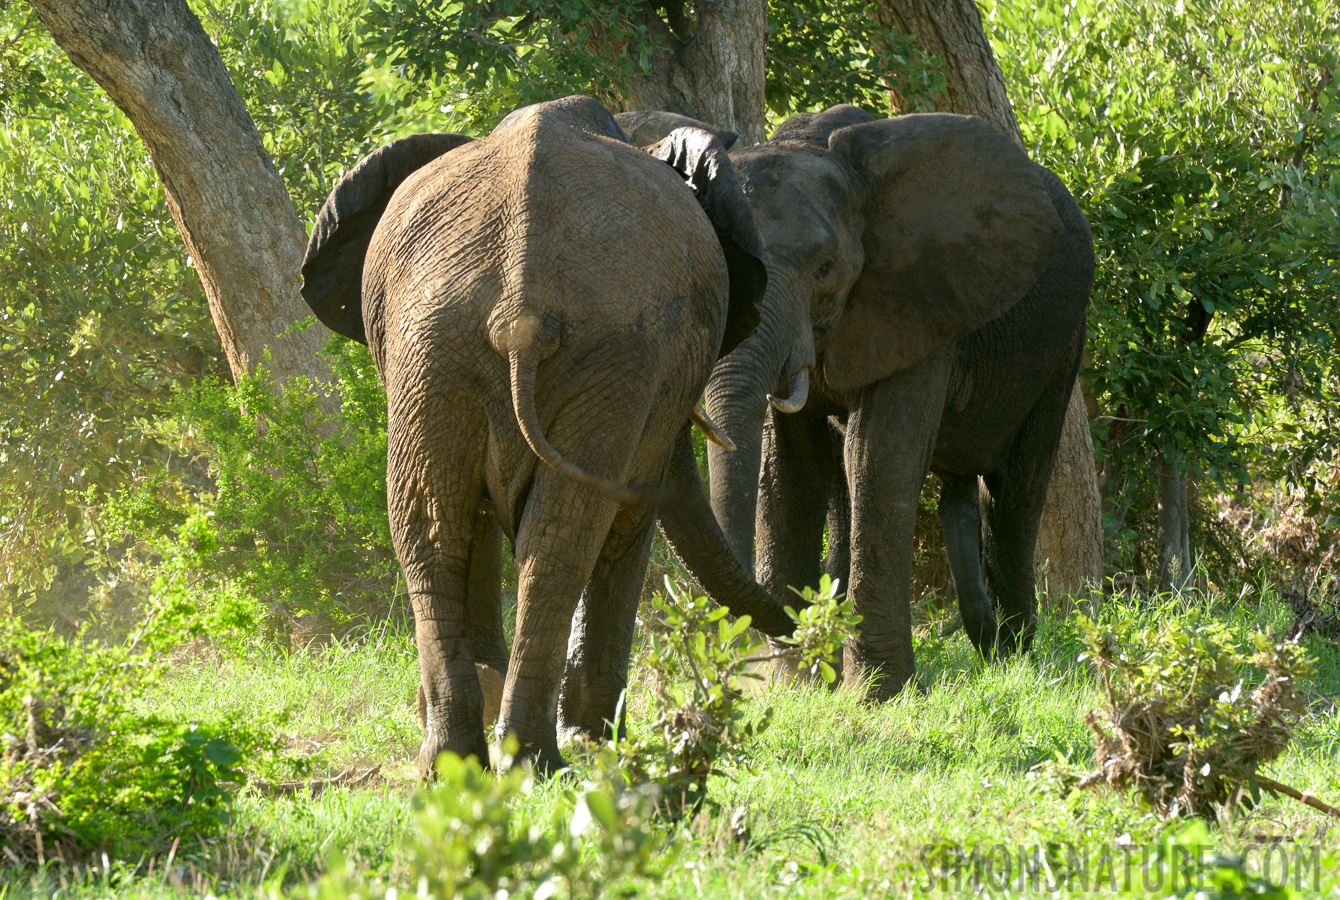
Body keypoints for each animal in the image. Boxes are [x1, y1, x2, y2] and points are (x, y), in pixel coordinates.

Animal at [301, 96, 793, 771]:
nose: (805, 616)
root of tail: (520, 311)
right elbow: (627, 519)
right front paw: (592, 734)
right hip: (570, 346)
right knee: (559, 527)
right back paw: (530, 758)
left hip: (451, 340)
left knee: (441, 520)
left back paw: (465, 758)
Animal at [675, 103, 1093, 696]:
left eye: (825, 268)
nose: (793, 630)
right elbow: (791, 474)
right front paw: (798, 685)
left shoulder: (923, 294)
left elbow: (879, 459)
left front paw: (877, 692)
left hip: (1061, 342)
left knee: (1015, 489)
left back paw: (1014, 657)